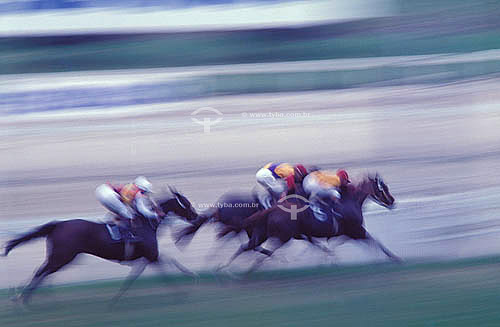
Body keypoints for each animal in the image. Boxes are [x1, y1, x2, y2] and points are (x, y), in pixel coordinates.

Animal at [2, 188, 197, 306]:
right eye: (186, 203)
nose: (195, 216)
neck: (147, 223)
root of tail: (57, 224)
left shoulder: (145, 258)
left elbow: (135, 276)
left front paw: (115, 299)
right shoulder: (151, 255)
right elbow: (167, 267)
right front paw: (184, 288)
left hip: (62, 257)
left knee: (43, 271)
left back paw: (25, 296)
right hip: (63, 256)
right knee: (41, 272)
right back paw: (23, 298)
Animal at [221, 174, 400, 272]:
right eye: (383, 188)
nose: (392, 201)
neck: (349, 201)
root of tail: (271, 209)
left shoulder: (343, 233)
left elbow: (329, 247)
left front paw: (326, 261)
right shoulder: (356, 231)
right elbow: (375, 241)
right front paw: (395, 258)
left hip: (263, 233)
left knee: (247, 247)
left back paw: (227, 269)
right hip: (282, 236)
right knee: (257, 250)